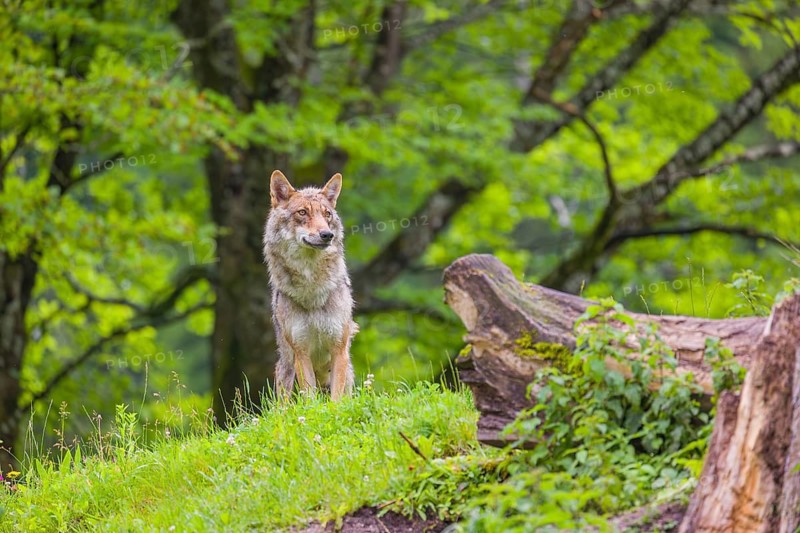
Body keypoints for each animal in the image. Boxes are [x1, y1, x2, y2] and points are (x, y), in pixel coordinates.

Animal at [263, 170, 358, 400]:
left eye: (327, 215)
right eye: (302, 212)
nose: (327, 235)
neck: (312, 288)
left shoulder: (339, 349)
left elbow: (336, 400)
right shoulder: (301, 353)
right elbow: (310, 398)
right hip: (286, 375)